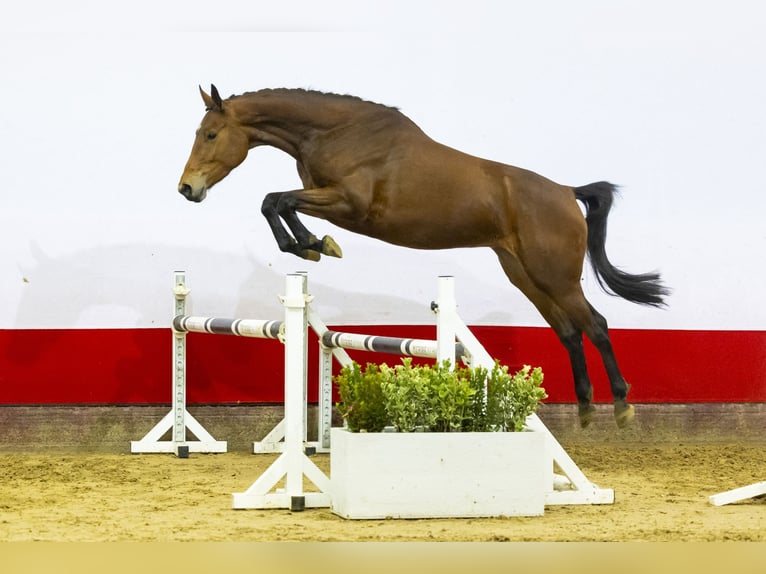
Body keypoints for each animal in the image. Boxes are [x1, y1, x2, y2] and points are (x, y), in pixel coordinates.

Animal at [178, 84, 664, 428]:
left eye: (211, 134)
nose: (187, 188)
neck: (336, 133)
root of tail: (566, 192)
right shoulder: (329, 200)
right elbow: (276, 202)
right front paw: (312, 245)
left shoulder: (349, 204)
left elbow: (276, 199)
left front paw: (314, 245)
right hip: (525, 275)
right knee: (569, 331)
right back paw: (584, 408)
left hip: (555, 276)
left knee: (595, 324)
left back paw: (621, 406)